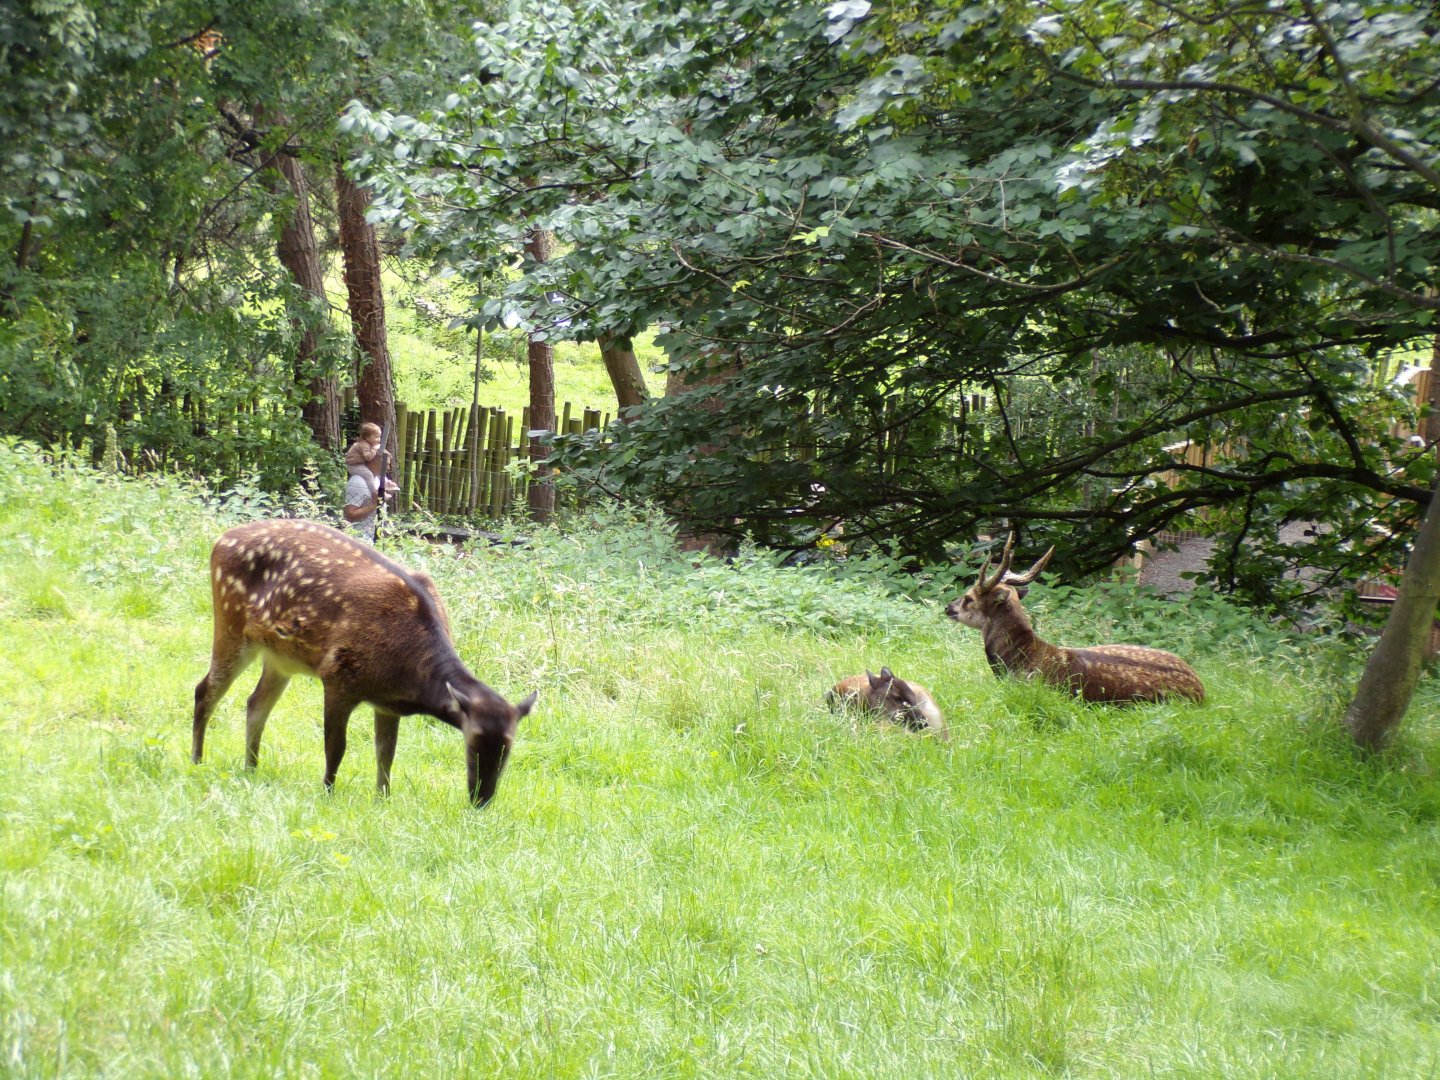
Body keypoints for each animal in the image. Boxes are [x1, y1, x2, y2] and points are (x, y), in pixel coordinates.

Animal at [192, 519, 537, 806]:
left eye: (509, 747)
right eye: (472, 743)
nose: (482, 799)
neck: (409, 679)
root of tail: (220, 539)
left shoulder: (386, 704)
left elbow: (386, 754)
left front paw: (382, 800)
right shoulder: (338, 676)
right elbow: (336, 747)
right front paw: (328, 794)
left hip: (280, 657)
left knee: (255, 704)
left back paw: (251, 769)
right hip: (232, 622)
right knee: (204, 690)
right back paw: (197, 760)